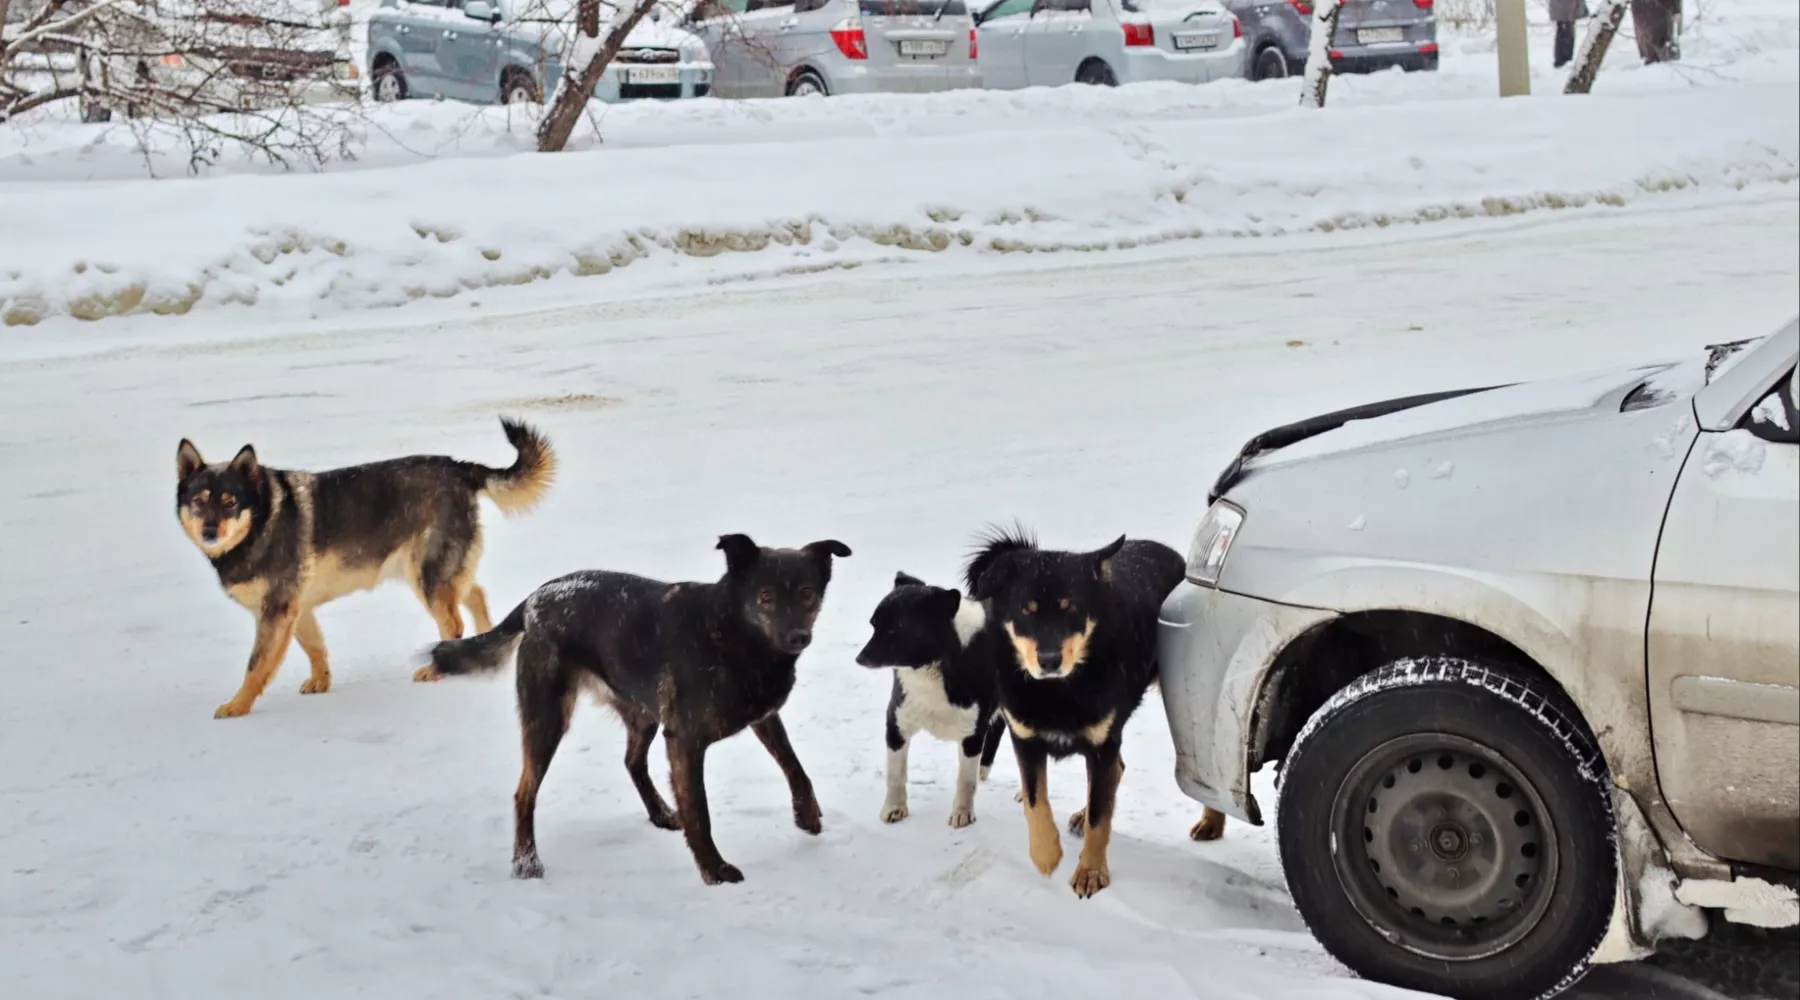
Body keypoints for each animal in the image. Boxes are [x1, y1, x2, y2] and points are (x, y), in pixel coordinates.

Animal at [177, 419, 554, 719]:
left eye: (230, 503)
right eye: (199, 502)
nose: (209, 533)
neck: (260, 520)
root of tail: (459, 467)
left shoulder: (276, 611)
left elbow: (255, 667)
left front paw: (237, 705)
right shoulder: (296, 609)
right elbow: (315, 648)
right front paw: (321, 682)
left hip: (427, 577)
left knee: (453, 623)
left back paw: (438, 669)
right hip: (440, 574)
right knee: (475, 595)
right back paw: (479, 647)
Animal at [421, 535, 849, 888]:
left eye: (807, 593)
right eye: (765, 596)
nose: (798, 636)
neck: (731, 634)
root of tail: (537, 596)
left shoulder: (763, 717)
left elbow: (794, 765)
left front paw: (807, 814)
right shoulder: (685, 740)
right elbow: (700, 812)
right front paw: (713, 870)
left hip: (642, 712)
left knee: (631, 761)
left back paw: (660, 812)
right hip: (548, 719)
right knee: (524, 792)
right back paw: (526, 862)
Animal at [849, 571, 1008, 827]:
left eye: (897, 628)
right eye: (874, 624)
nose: (860, 658)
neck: (934, 665)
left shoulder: (973, 731)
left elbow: (966, 779)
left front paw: (962, 813)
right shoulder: (896, 720)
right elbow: (896, 773)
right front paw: (894, 808)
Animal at [957, 528, 1224, 902]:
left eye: (1071, 608)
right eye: (1026, 609)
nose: (1049, 660)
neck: (1058, 690)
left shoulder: (1101, 744)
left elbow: (1100, 818)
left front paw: (1091, 872)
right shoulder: (1025, 738)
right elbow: (1035, 802)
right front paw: (1046, 854)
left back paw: (1212, 821)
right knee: (1115, 773)